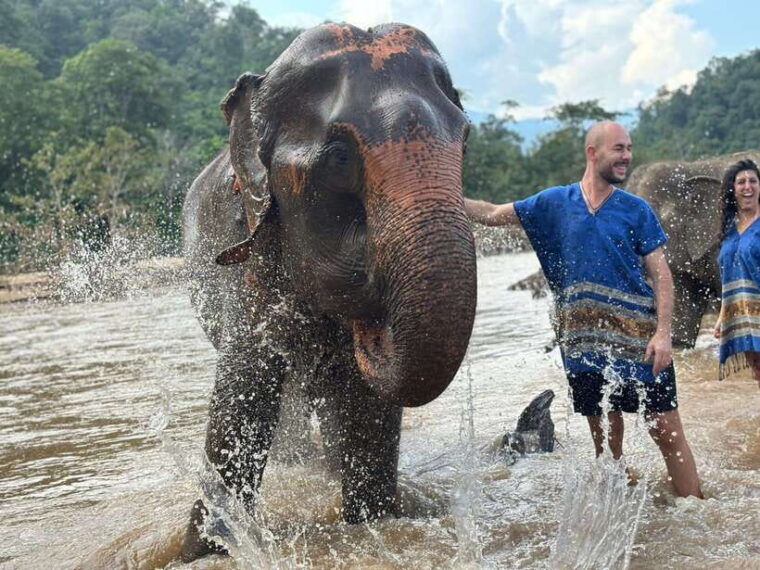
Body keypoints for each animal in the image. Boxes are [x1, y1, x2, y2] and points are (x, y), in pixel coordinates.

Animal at [180, 23, 477, 561]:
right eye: (339, 158)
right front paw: (207, 545)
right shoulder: (251, 256)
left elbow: (368, 412)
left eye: (465, 141)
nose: (373, 329)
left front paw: (371, 523)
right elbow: (243, 398)